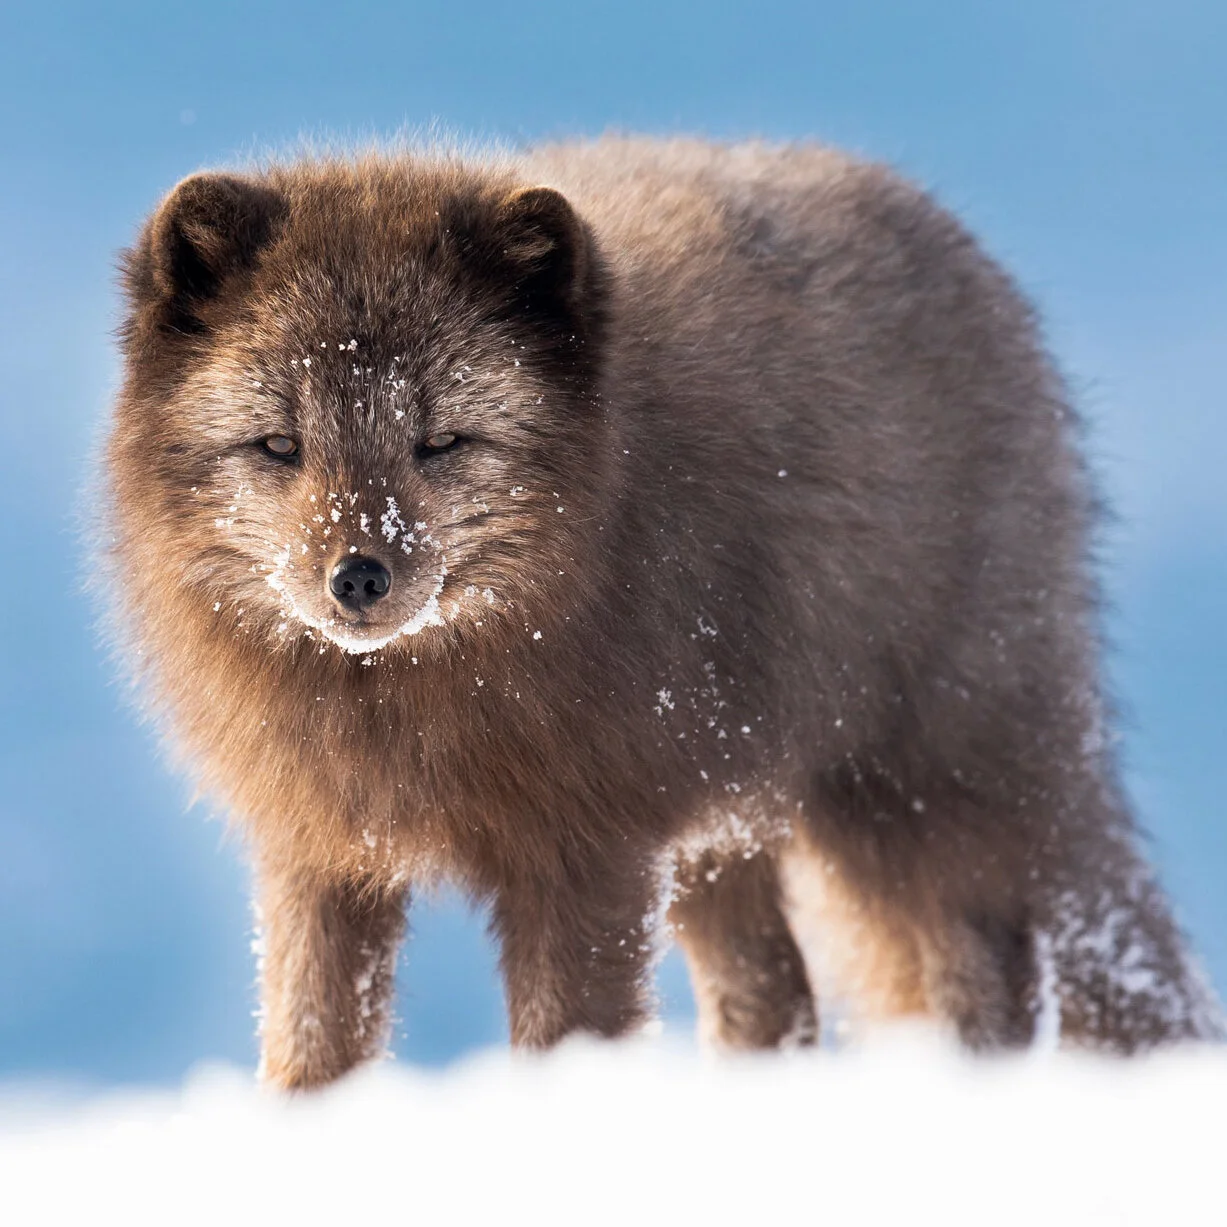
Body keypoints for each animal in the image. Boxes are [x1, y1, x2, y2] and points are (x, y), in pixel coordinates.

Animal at [104, 137, 1221, 1088]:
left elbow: (563, 1041)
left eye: (443, 441)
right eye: (279, 444)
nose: (359, 577)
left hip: (932, 779)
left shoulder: (586, 853)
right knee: (778, 997)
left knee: (1010, 956)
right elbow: (309, 1051)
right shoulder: (318, 855)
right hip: (733, 837)